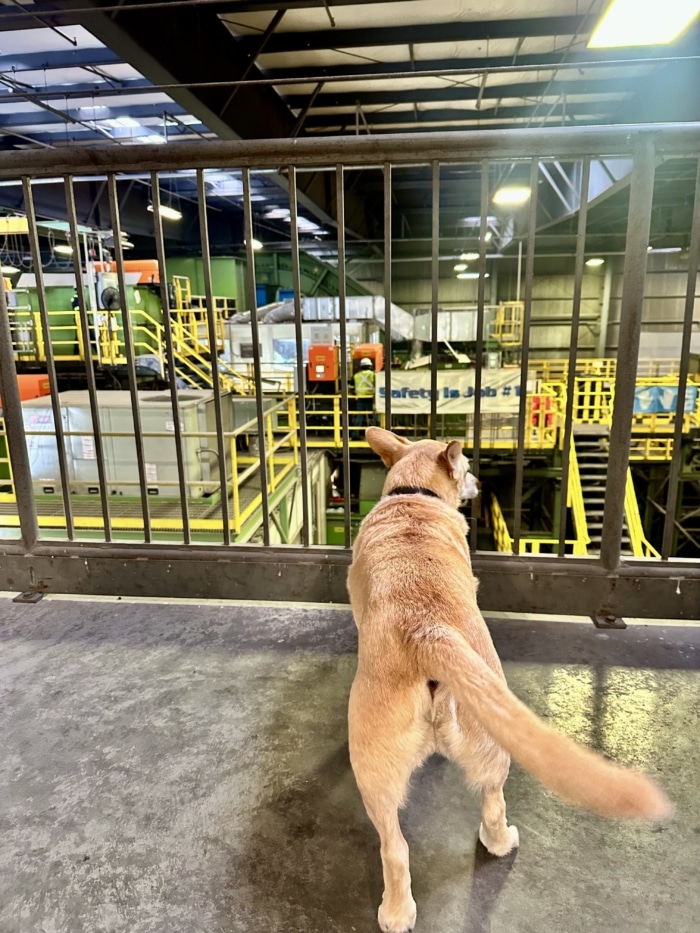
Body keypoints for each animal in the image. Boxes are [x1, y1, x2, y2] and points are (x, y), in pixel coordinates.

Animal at [348, 428, 668, 932]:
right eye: (466, 470)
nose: (478, 482)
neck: (412, 496)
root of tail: (428, 629)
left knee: (399, 843)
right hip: (464, 751)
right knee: (460, 818)